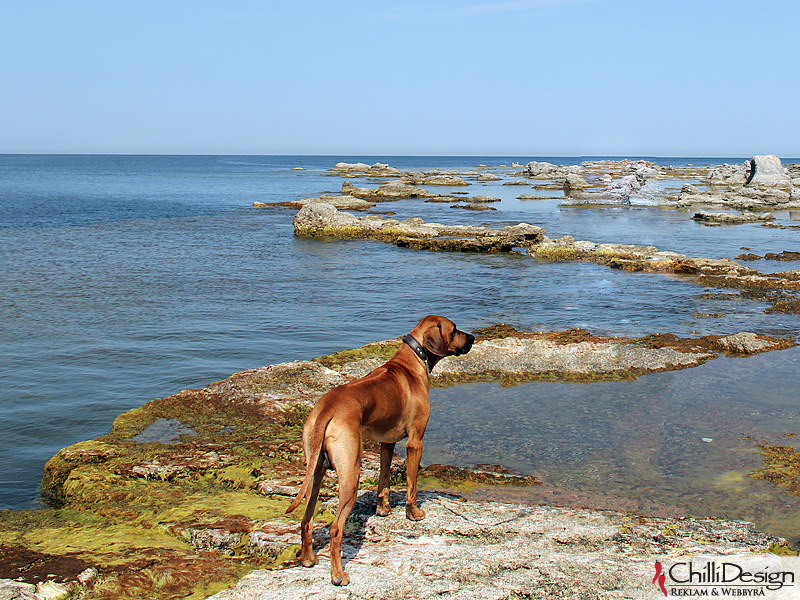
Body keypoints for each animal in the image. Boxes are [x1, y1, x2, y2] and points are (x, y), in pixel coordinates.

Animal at [288, 316, 476, 584]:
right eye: (454, 330)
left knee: (306, 520)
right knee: (335, 529)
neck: (412, 360)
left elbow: (384, 479)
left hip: (315, 471)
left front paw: (383, 509)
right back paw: (338, 575)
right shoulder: (415, 441)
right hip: (351, 474)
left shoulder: (387, 442)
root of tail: (327, 407)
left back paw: (307, 559)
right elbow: (411, 485)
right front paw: (413, 513)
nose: (472, 337)